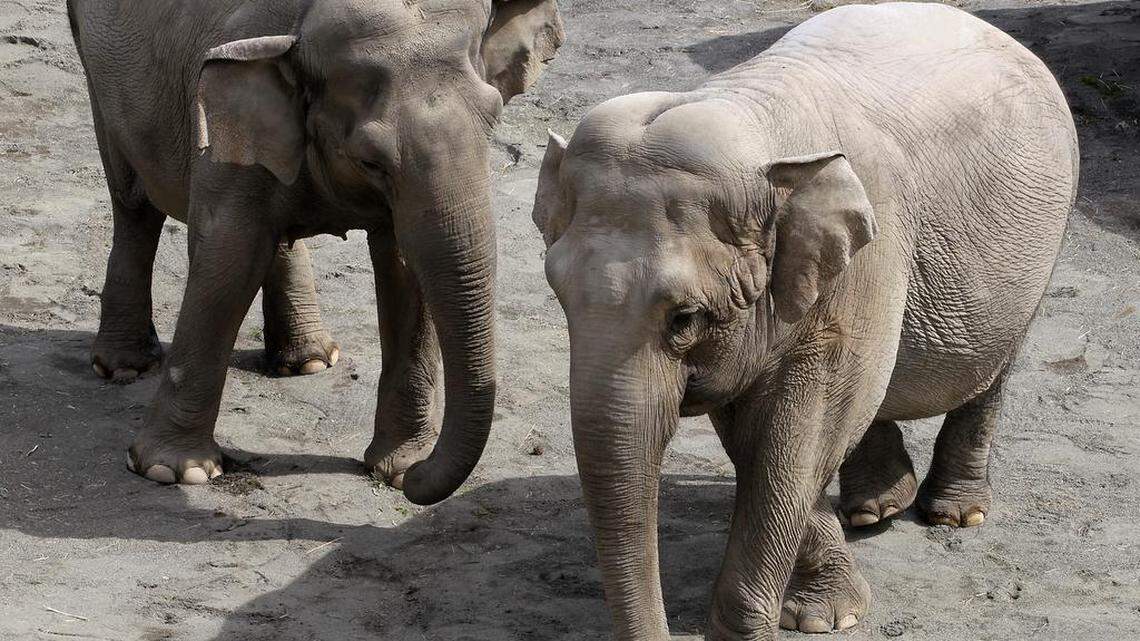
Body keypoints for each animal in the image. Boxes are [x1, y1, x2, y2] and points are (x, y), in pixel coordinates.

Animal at [68, 0, 563, 503]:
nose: (419, 479)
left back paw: (309, 361)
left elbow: (406, 267)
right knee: (133, 200)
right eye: (371, 161)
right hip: (95, 67)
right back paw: (124, 367)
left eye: (493, 121)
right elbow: (229, 256)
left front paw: (398, 468)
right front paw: (172, 471)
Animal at [531, 3, 1077, 639]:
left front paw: (778, 625)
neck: (745, 111)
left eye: (685, 318)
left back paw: (955, 515)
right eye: (559, 296)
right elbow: (766, 435)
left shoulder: (870, 258)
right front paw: (820, 614)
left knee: (990, 373)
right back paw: (874, 509)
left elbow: (799, 435)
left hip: (1043, 248)